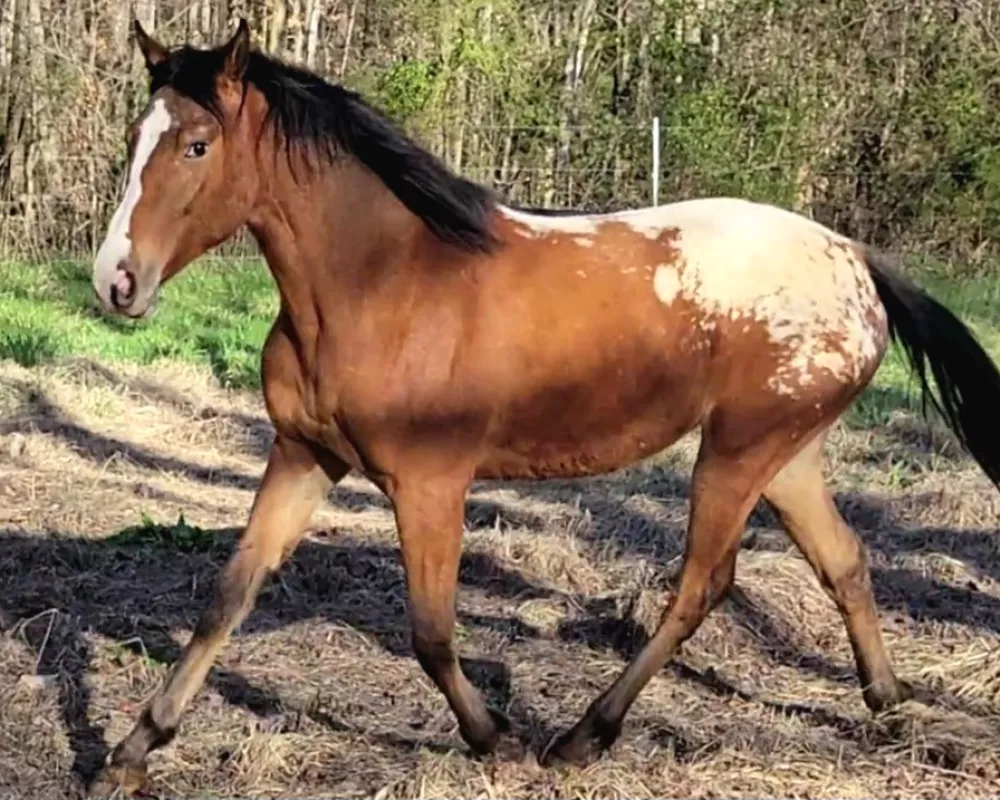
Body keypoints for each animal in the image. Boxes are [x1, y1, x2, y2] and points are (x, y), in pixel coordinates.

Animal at [86, 17, 1000, 792]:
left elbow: (431, 630)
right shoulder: (304, 456)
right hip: (785, 452)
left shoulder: (430, 483)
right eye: (132, 139)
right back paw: (889, 703)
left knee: (702, 585)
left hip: (738, 453)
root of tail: (855, 258)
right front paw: (131, 751)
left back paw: (582, 737)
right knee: (843, 560)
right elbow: (228, 597)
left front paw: (497, 740)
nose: (115, 282)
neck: (384, 282)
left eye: (197, 144)